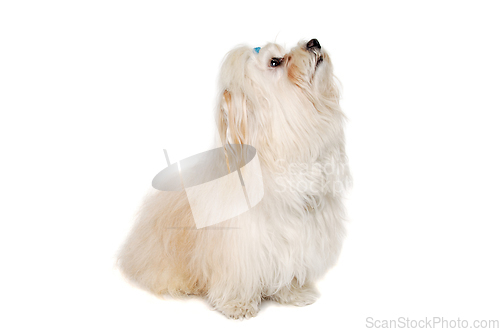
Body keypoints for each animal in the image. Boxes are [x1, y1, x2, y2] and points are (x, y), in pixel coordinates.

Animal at [117, 39, 352, 320]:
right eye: (276, 61)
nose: (313, 41)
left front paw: (293, 293)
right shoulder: (240, 243)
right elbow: (238, 275)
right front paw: (238, 305)